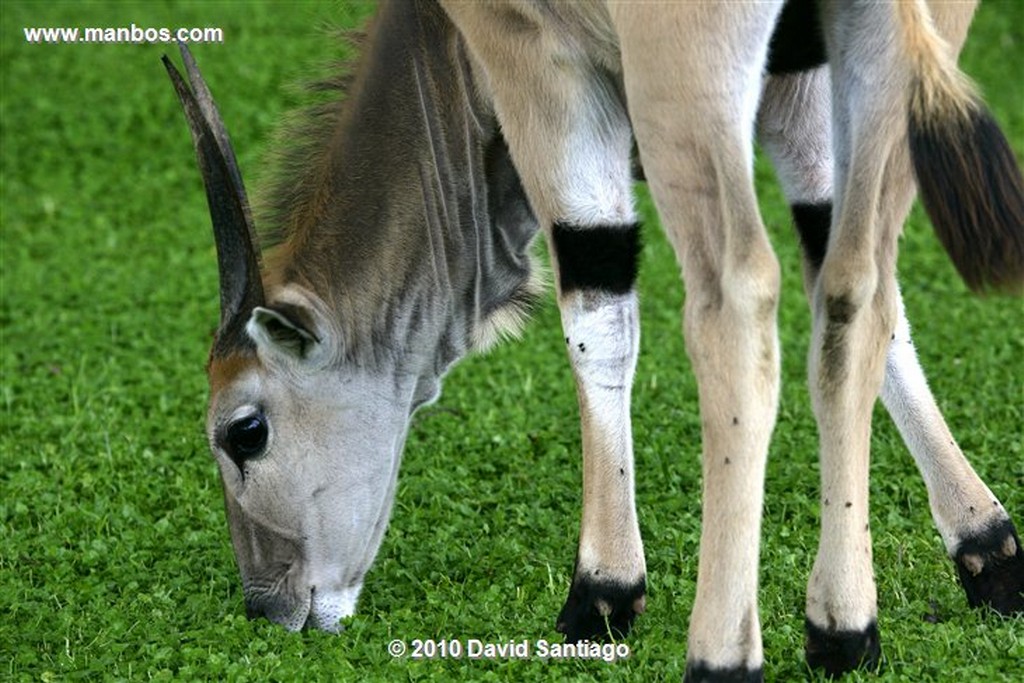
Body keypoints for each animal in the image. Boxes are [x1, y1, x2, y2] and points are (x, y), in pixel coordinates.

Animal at [163, 0, 1019, 679]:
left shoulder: (535, 60)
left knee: (736, 298)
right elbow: (860, 298)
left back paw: (719, 651)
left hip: (686, 80)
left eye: (244, 431)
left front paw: (604, 591)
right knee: (857, 286)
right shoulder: (799, 86)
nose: (268, 605)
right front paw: (986, 545)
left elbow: (597, 317)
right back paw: (843, 628)